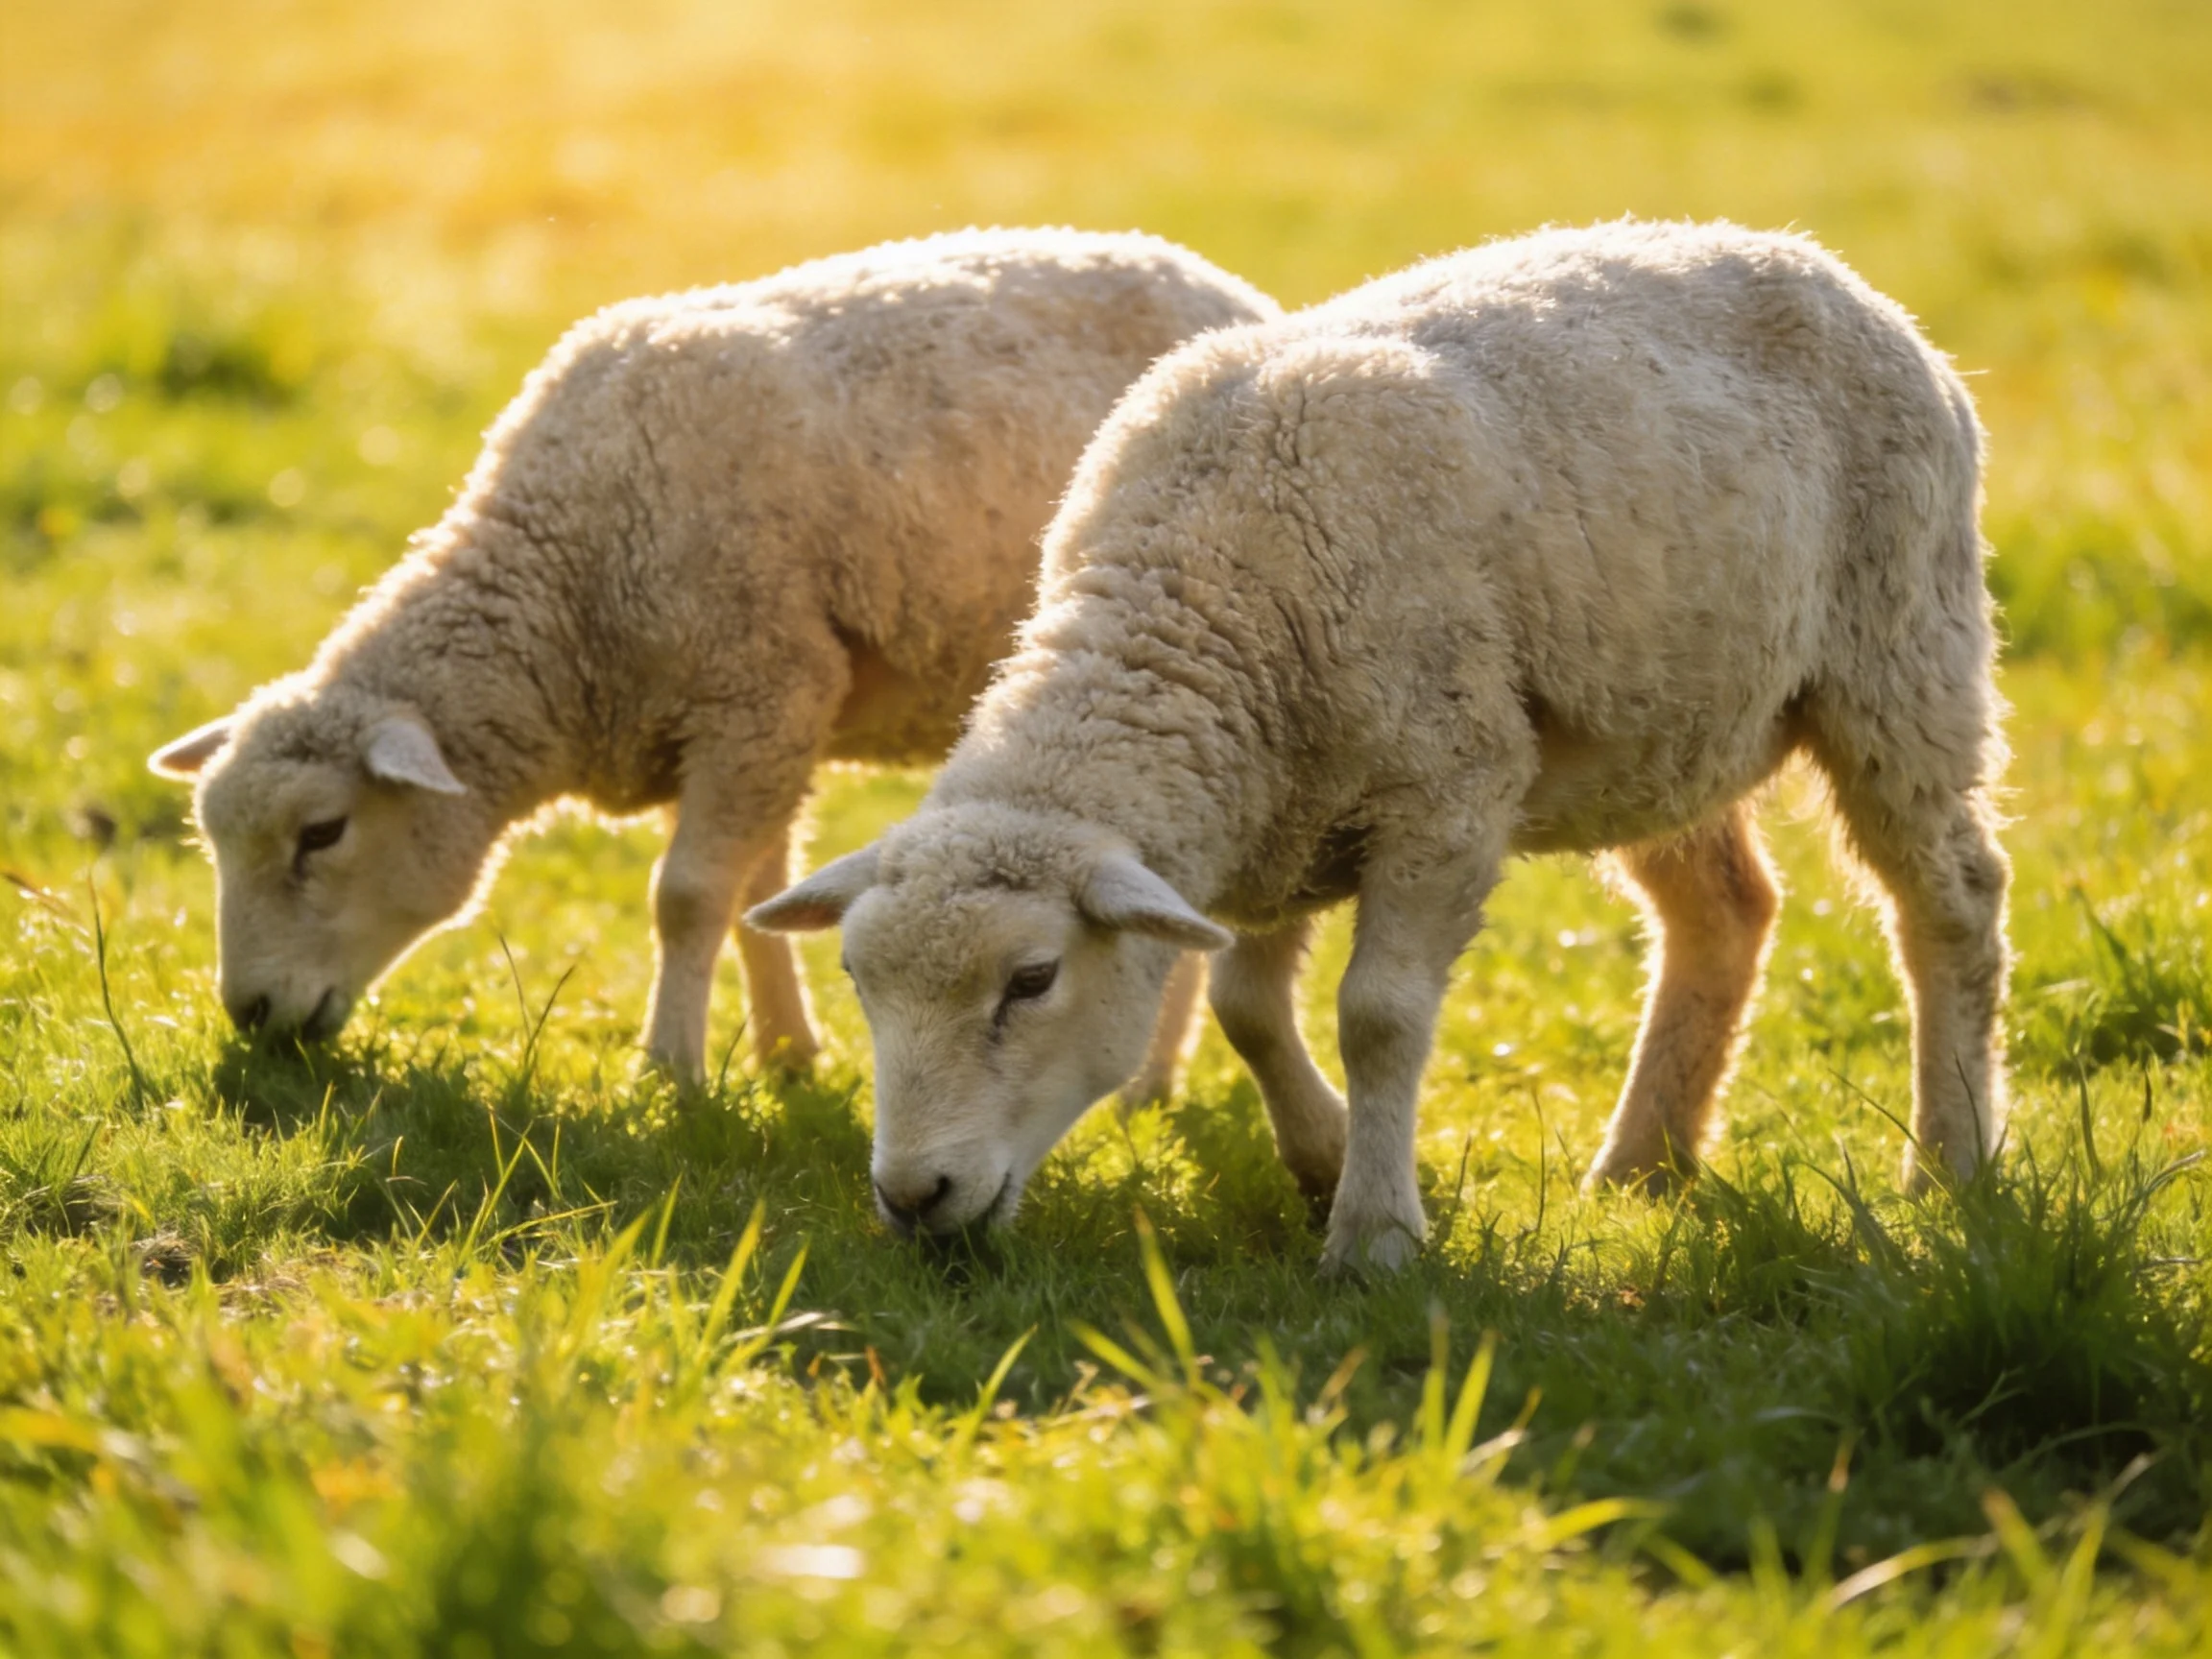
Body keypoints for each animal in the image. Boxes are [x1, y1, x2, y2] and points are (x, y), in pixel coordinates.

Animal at [148, 228, 1277, 1089]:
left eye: (321, 833)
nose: (250, 1015)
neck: (565, 588)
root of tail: (1226, 284)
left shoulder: (757, 689)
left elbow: (690, 895)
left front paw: (671, 1072)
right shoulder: (762, 722)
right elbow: (756, 894)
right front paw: (786, 1056)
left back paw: (1150, 1084)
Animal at [749, 219, 2011, 1272]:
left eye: (1032, 980)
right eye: (857, 978)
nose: (912, 1197)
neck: (1198, 596)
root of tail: (1824, 267)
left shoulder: (1445, 789)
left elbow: (1380, 1017)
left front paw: (1374, 1235)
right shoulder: (1279, 810)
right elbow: (1247, 1010)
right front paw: (1319, 1160)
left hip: (1901, 652)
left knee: (1953, 898)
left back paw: (1949, 1162)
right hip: (1662, 721)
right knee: (1726, 913)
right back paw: (1641, 1167)